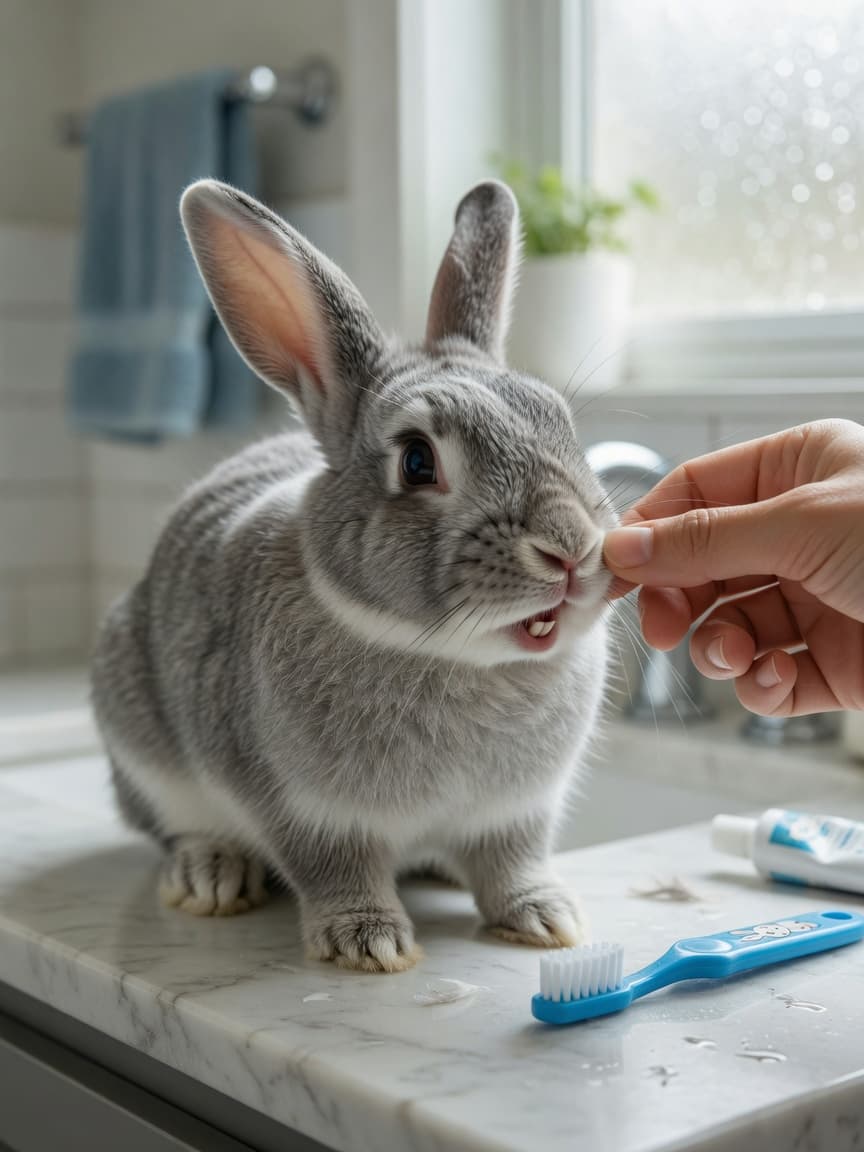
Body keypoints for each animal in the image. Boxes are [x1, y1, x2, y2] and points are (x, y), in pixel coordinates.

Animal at [90, 177, 617, 973]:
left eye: (561, 423)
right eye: (418, 461)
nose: (570, 547)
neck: (456, 658)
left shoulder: (515, 813)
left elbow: (511, 863)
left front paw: (545, 919)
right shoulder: (306, 811)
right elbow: (334, 869)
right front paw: (367, 942)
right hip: (139, 739)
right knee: (171, 828)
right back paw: (211, 874)